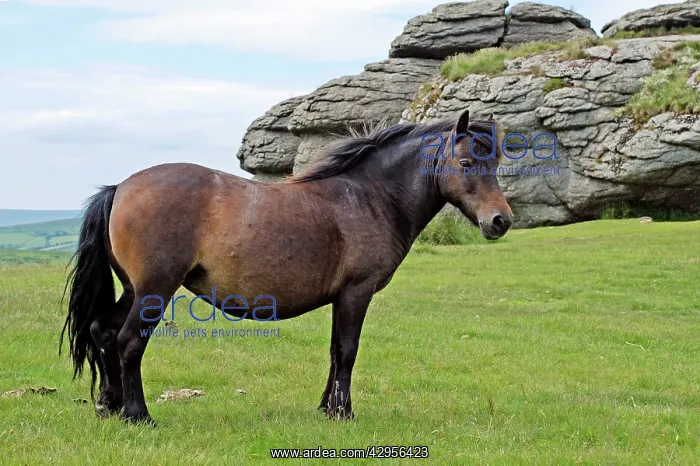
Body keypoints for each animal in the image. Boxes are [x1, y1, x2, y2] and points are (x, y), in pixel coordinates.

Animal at [61, 109, 513, 424]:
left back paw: (109, 405)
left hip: (134, 289)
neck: (370, 197)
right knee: (128, 341)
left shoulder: (342, 298)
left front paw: (327, 409)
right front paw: (343, 413)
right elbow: (347, 351)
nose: (500, 221)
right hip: (155, 289)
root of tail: (120, 188)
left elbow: (335, 351)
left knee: (104, 331)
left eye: (494, 165)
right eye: (468, 165)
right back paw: (138, 415)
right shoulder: (357, 293)